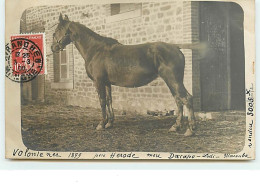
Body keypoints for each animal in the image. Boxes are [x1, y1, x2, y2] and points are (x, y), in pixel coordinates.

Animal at [51, 14, 196, 136]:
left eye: (57, 30)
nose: (53, 48)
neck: (95, 50)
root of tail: (176, 47)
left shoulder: (98, 81)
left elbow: (102, 101)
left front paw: (101, 124)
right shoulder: (106, 83)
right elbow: (109, 100)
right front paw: (109, 123)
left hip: (173, 80)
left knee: (186, 99)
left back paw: (190, 129)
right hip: (172, 81)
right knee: (178, 100)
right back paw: (175, 126)